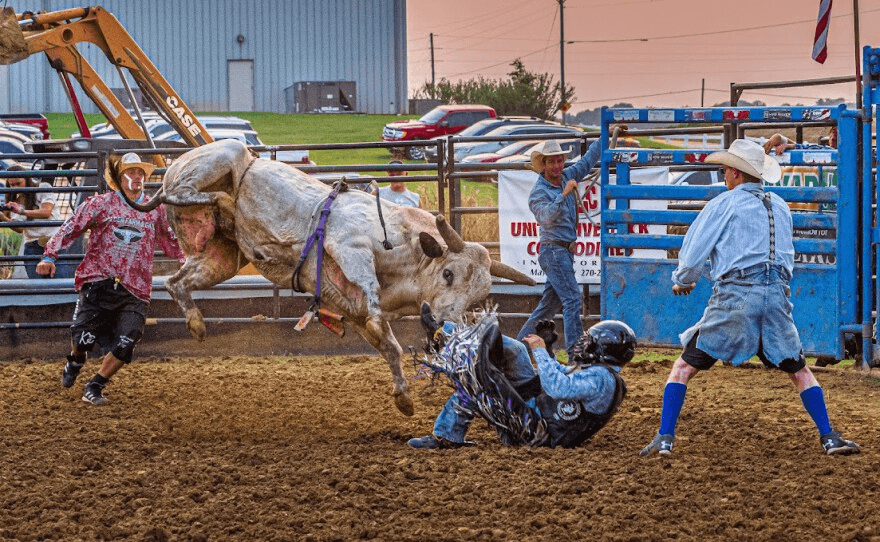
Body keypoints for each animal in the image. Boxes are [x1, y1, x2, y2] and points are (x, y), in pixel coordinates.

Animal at [121, 139, 535, 416]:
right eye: (448, 273)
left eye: (478, 298)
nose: (448, 328)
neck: (405, 251)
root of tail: (176, 163)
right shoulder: (350, 246)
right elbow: (370, 293)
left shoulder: (355, 311)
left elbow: (389, 346)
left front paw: (403, 397)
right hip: (224, 158)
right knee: (184, 192)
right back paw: (209, 197)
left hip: (223, 257)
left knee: (176, 282)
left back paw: (196, 323)